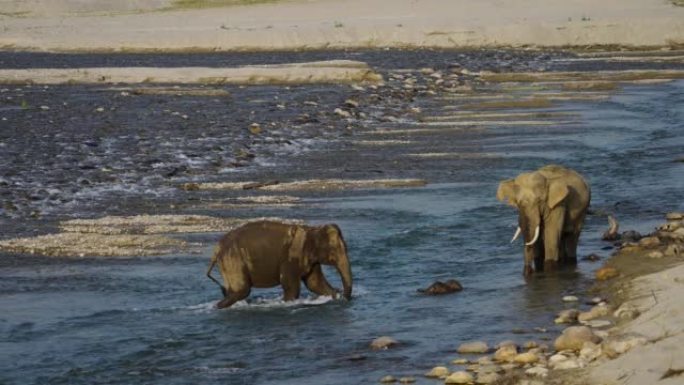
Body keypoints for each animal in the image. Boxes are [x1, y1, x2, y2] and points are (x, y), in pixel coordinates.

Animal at [204, 220, 352, 308]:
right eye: (334, 251)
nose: (345, 298)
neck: (312, 230)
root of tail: (216, 249)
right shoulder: (290, 258)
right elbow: (291, 286)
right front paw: (287, 303)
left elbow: (315, 284)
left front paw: (334, 296)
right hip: (233, 260)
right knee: (242, 290)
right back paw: (218, 307)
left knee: (235, 292)